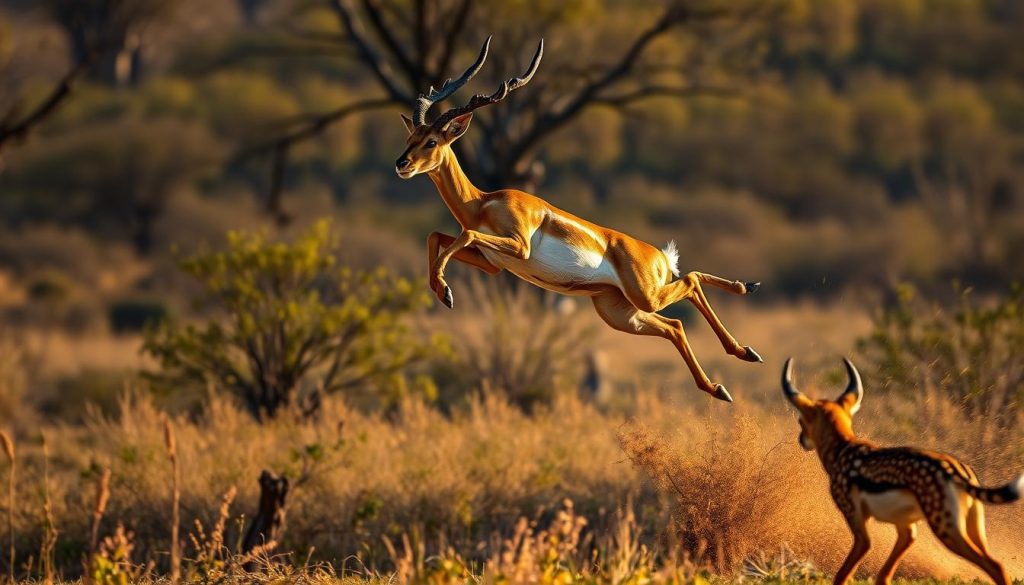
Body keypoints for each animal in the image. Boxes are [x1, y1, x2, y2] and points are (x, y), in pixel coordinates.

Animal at [395, 37, 763, 402]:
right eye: (410, 138)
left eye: (431, 141)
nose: (401, 164)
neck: (482, 202)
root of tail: (658, 255)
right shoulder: (493, 265)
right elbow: (437, 236)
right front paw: (442, 291)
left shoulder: (518, 246)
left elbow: (465, 235)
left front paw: (445, 291)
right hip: (621, 313)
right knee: (676, 325)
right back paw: (724, 378)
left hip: (645, 296)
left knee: (691, 282)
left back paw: (743, 335)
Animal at [781, 357, 1023, 585]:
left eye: (802, 419)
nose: (802, 440)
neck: (843, 448)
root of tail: (958, 471)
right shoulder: (905, 528)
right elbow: (883, 576)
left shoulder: (858, 525)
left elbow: (843, 574)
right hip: (973, 529)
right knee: (996, 563)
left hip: (946, 528)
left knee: (995, 566)